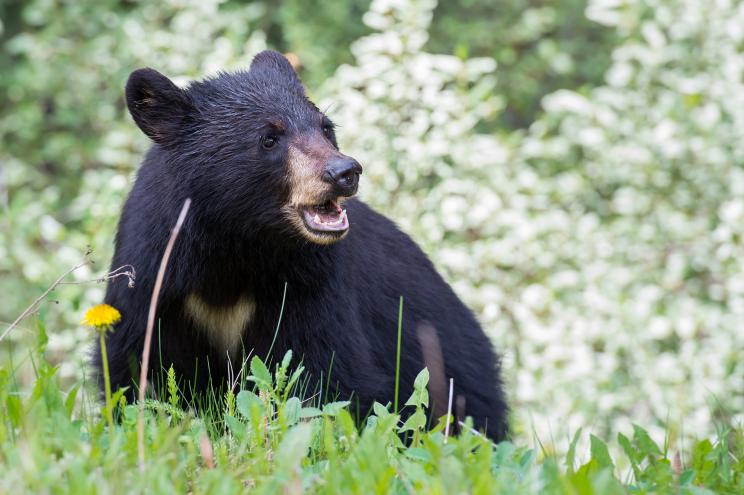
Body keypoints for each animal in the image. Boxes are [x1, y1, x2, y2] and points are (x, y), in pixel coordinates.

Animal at [96, 50, 508, 442]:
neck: (234, 244)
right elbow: (135, 366)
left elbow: (325, 373)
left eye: (327, 128)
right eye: (269, 138)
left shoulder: (309, 282)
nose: (345, 172)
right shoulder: (155, 275)